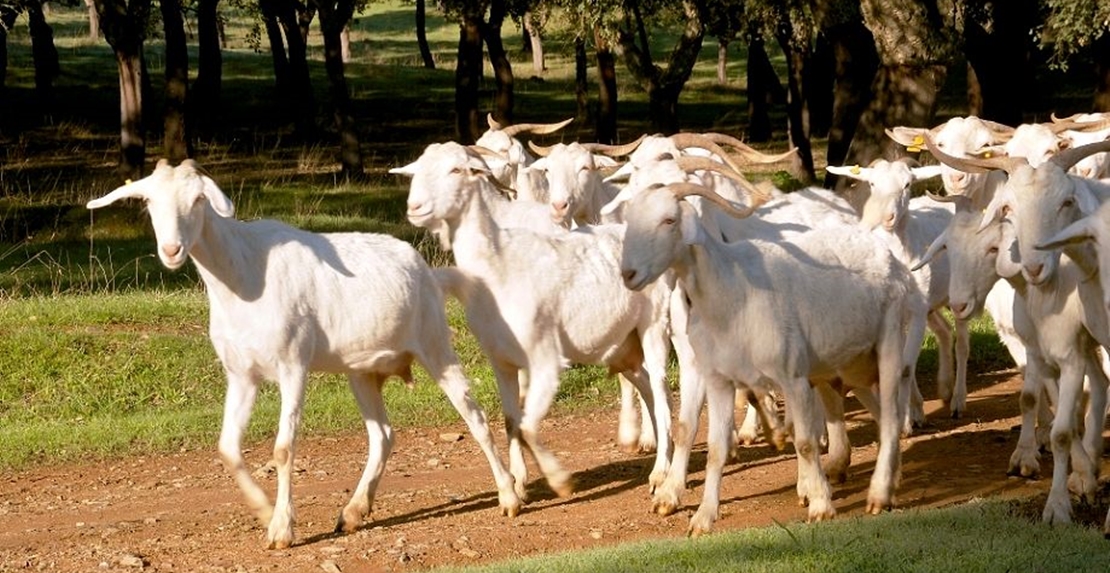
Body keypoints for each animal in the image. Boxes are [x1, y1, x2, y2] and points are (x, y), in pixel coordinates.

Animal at [86, 158, 519, 548]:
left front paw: (281, 530)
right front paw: (263, 511)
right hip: (361, 370)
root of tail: (425, 268)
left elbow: (283, 448)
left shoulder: (292, 364)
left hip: (434, 342)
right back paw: (352, 512)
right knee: (382, 434)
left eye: (198, 200)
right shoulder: (241, 374)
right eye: (149, 203)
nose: (172, 249)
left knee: (474, 414)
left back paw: (509, 496)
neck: (244, 271)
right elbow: (228, 448)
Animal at [395, 141, 670, 504]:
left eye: (456, 170)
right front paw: (517, 488)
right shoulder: (501, 360)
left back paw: (662, 474)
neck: (498, 267)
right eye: (418, 169)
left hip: (654, 326)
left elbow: (526, 425)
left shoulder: (545, 359)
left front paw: (559, 480)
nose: (415, 207)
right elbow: (512, 421)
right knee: (646, 384)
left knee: (662, 391)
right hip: (620, 344)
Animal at [621, 181, 923, 535]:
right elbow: (714, 449)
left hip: (888, 341)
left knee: (890, 416)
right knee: (874, 412)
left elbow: (804, 441)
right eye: (630, 220)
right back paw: (883, 477)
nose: (628, 274)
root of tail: (884, 253)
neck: (731, 292)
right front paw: (702, 517)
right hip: (847, 361)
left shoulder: (792, 377)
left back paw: (878, 494)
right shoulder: (718, 379)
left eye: (669, 220)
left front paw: (820, 505)